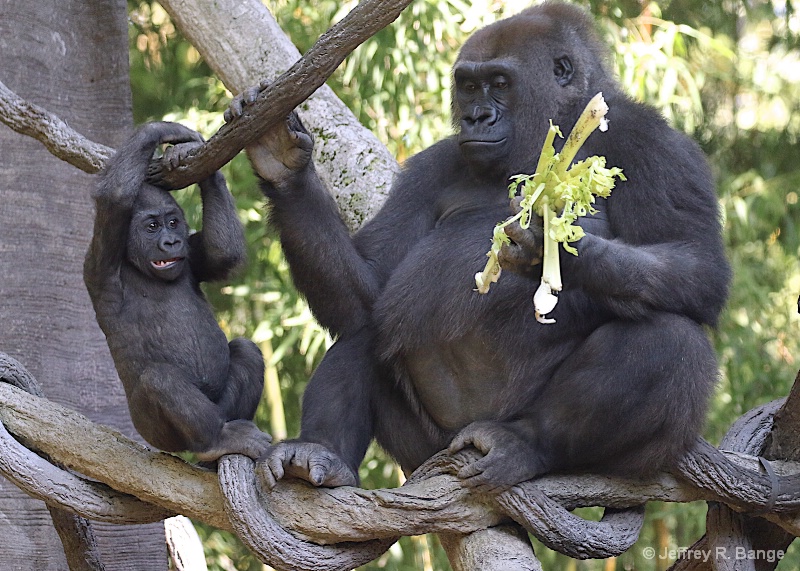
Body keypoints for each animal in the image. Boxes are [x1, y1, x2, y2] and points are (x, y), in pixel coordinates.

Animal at [85, 123, 272, 462]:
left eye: (173, 222)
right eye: (152, 227)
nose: (171, 242)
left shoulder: (194, 251)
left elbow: (221, 253)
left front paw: (189, 147)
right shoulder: (99, 261)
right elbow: (114, 198)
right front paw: (166, 130)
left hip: (218, 408)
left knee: (246, 351)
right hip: (155, 432)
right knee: (160, 378)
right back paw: (216, 440)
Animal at [234, 1, 728, 492]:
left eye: (500, 84)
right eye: (469, 86)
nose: (476, 117)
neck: (562, 123)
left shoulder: (652, 141)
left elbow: (699, 266)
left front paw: (550, 248)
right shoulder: (433, 163)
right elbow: (369, 286)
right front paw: (283, 161)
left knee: (671, 339)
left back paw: (525, 442)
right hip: (424, 448)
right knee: (364, 324)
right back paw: (322, 452)